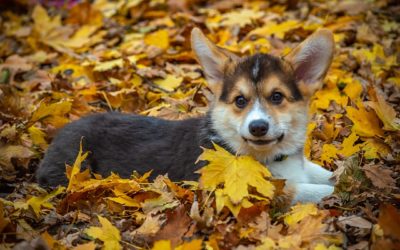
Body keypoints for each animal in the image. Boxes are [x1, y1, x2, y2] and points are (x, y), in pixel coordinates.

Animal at [36, 27, 334, 203]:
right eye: (240, 101)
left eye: (277, 97)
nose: (257, 127)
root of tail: (60, 132)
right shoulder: (260, 190)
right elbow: (310, 190)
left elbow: (321, 173)